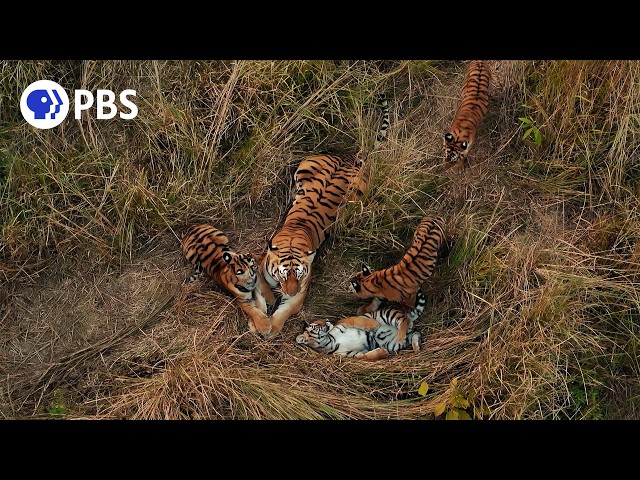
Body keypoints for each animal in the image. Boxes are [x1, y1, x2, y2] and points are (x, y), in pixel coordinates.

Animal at [261, 93, 390, 336]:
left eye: (299, 275)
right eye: (283, 274)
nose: (289, 292)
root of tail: (352, 158)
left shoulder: (300, 291)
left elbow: (285, 310)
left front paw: (271, 327)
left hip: (358, 191)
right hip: (305, 166)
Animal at [296, 289, 425, 361]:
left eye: (321, 320)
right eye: (316, 325)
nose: (327, 320)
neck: (329, 341)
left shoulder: (343, 322)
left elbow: (358, 320)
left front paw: (375, 325)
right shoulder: (350, 354)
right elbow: (364, 356)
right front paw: (382, 353)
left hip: (387, 314)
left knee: (403, 320)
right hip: (393, 344)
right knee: (415, 333)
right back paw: (416, 347)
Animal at [348, 214, 445, 344]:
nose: (349, 283)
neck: (373, 280)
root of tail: (434, 215)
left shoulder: (410, 295)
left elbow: (409, 307)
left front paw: (409, 313)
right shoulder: (381, 296)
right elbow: (374, 303)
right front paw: (363, 309)